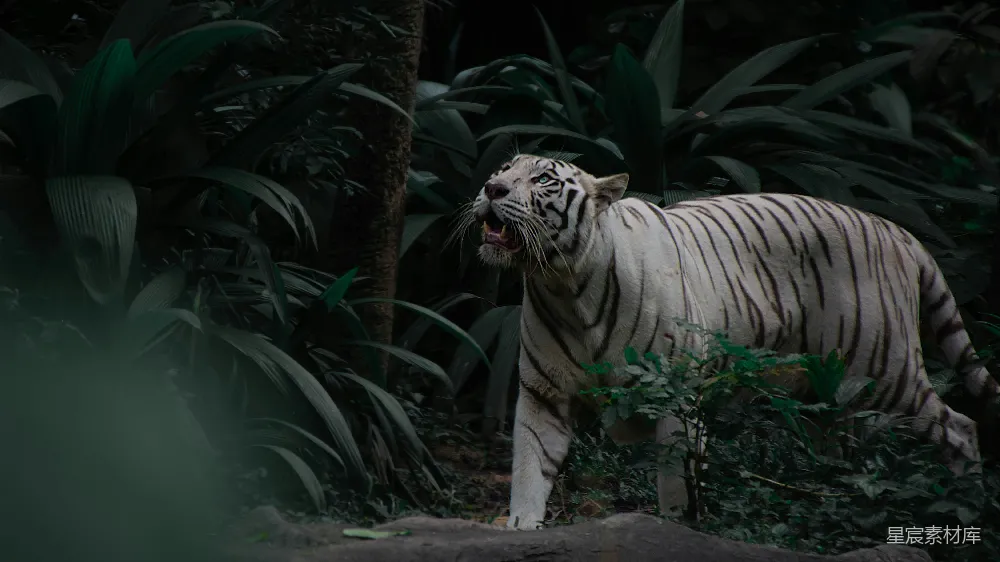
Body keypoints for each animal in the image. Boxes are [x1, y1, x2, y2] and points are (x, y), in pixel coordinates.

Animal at [453, 153, 999, 530]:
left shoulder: (674, 398)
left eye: (543, 179)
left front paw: (675, 531)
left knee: (960, 425)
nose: (491, 187)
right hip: (829, 396)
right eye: (505, 168)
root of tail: (899, 230)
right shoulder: (543, 395)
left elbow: (677, 485)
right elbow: (529, 471)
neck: (564, 285)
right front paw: (521, 528)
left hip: (884, 371)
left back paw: (966, 506)